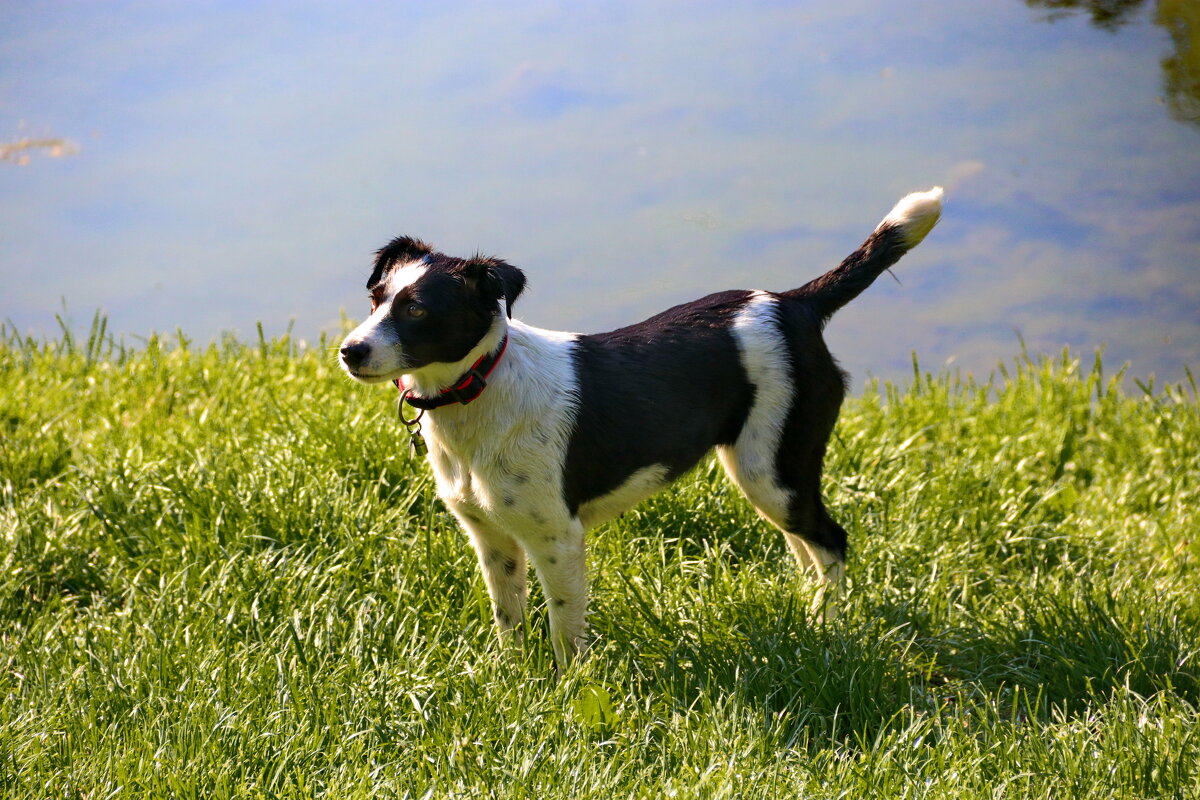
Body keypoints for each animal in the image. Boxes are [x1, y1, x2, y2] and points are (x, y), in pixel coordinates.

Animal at [338, 189, 936, 671]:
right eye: (375, 300)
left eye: (417, 311)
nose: (349, 351)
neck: (479, 389)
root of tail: (794, 304)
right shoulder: (491, 538)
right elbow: (509, 620)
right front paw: (509, 680)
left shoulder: (557, 539)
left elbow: (563, 630)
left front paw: (565, 692)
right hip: (765, 471)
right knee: (806, 546)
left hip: (775, 467)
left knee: (831, 543)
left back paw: (824, 628)